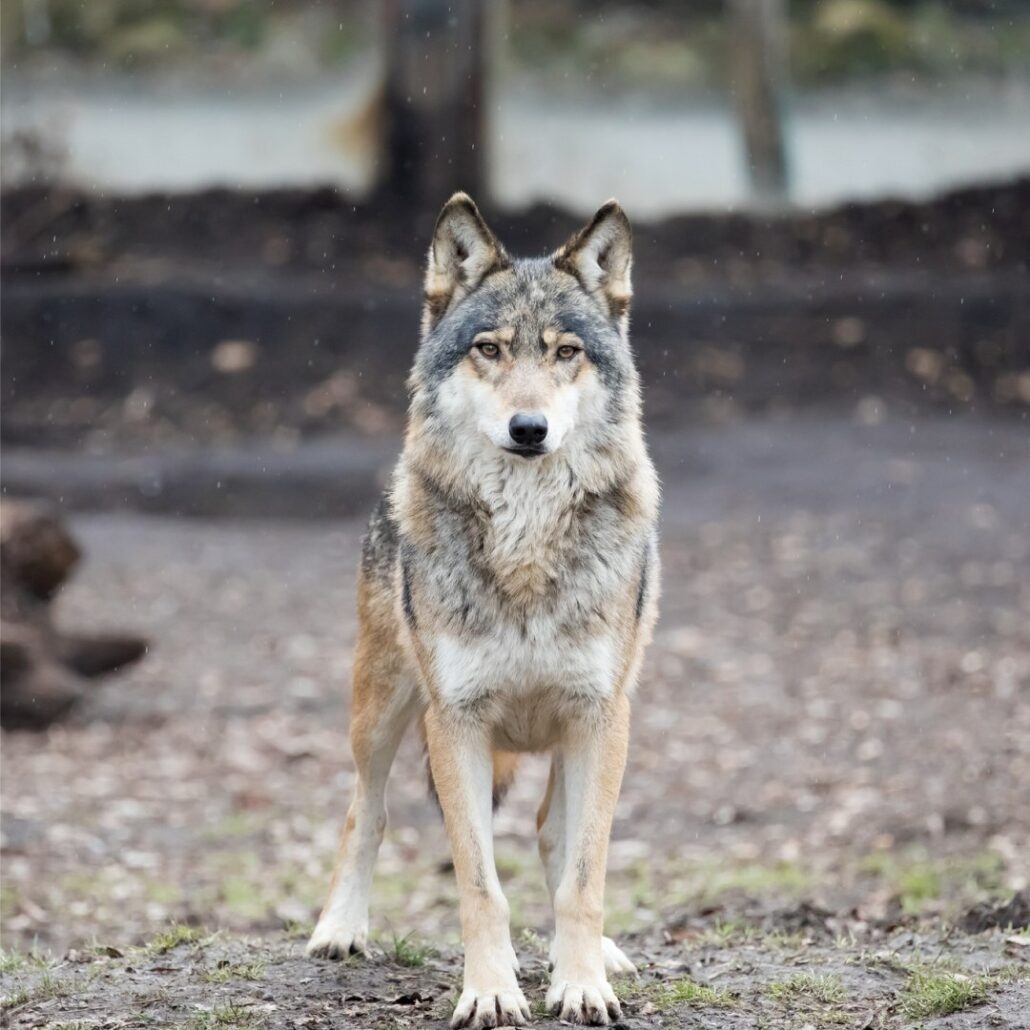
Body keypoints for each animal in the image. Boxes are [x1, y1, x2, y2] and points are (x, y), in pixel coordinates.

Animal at [306, 194, 659, 1030]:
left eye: (566, 352)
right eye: (489, 350)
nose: (529, 429)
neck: (525, 543)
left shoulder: (600, 715)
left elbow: (585, 874)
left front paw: (583, 983)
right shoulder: (455, 720)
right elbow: (478, 883)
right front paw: (491, 991)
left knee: (551, 833)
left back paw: (601, 956)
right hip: (380, 712)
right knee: (365, 811)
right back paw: (340, 928)